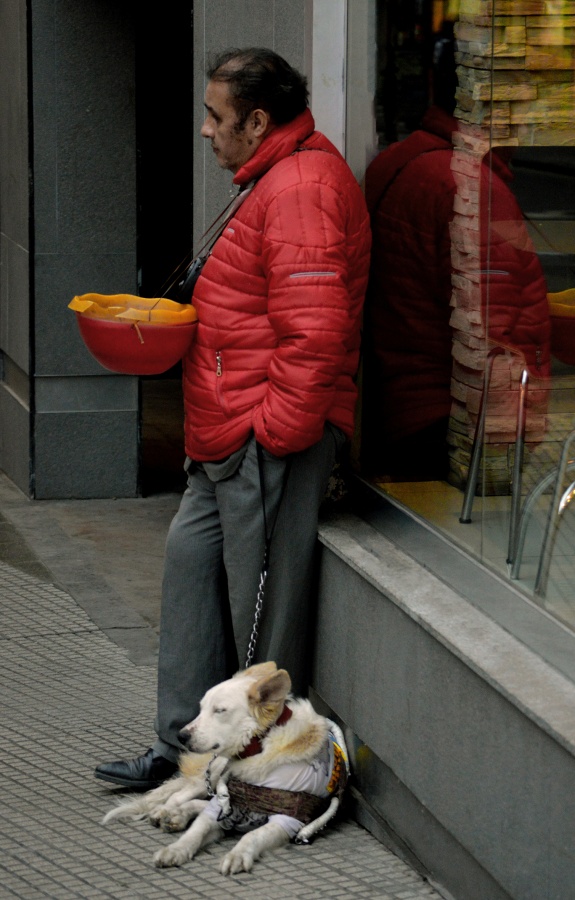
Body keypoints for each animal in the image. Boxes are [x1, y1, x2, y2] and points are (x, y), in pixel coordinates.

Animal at [101, 660, 348, 872]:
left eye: (220, 710)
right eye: (201, 708)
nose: (181, 736)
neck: (259, 747)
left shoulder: (287, 819)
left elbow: (252, 835)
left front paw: (237, 855)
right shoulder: (224, 802)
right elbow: (196, 830)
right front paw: (176, 850)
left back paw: (177, 815)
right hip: (213, 771)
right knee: (180, 795)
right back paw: (167, 811)